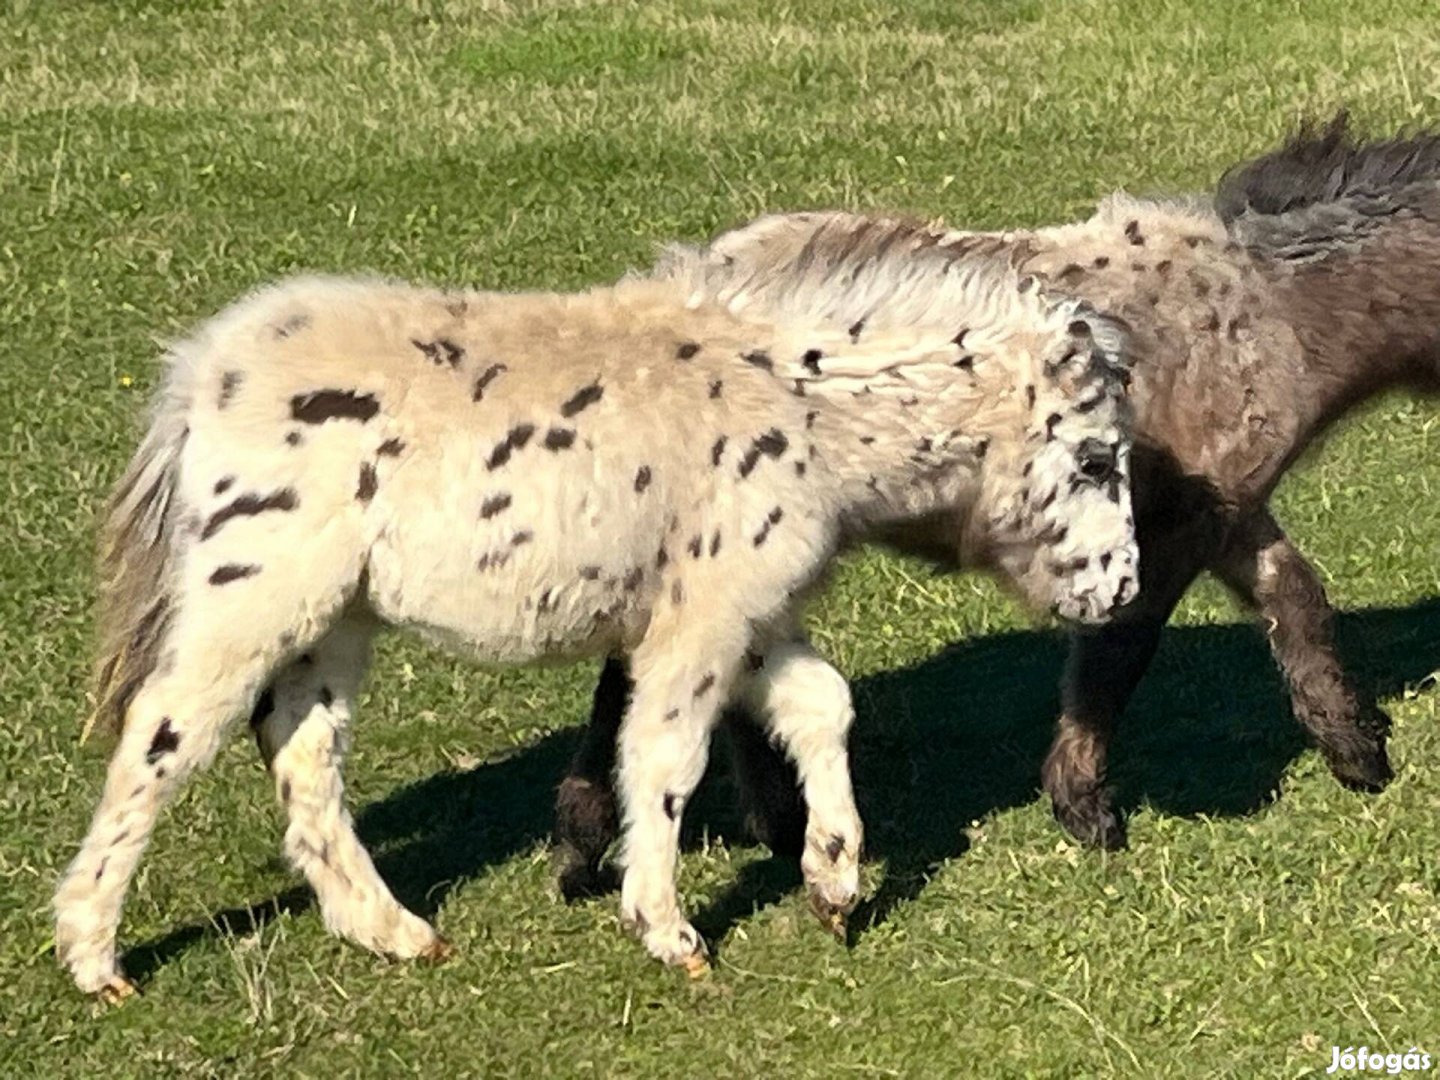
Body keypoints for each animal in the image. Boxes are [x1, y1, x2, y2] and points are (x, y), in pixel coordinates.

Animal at [53, 230, 1134, 1008]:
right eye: (1092, 460)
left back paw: (395, 932)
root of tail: (204, 374)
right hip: (256, 595)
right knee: (163, 738)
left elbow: (822, 707)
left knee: (303, 751)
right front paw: (668, 931)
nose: (1118, 591)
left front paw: (833, 885)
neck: (800, 402)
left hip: (334, 619)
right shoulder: (700, 624)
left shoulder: (747, 611)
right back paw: (95, 957)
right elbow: (664, 756)